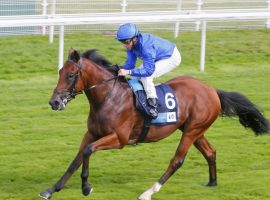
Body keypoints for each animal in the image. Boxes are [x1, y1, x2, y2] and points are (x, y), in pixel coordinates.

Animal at [39, 48, 268, 200]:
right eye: (59, 72)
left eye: (70, 75)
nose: (54, 102)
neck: (109, 98)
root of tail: (212, 90)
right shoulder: (91, 134)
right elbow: (76, 160)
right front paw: (51, 190)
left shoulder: (119, 139)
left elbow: (87, 152)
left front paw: (86, 187)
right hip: (194, 129)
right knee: (210, 152)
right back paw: (212, 183)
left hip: (191, 130)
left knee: (177, 160)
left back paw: (149, 191)